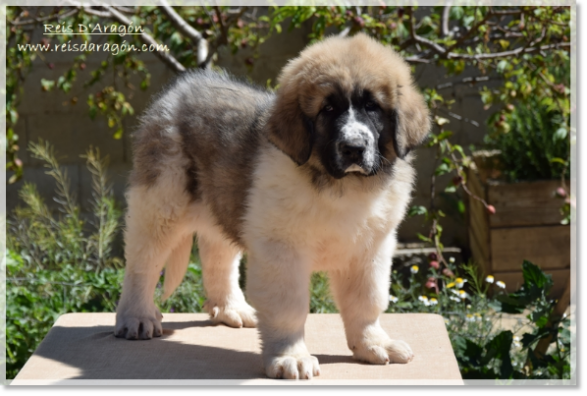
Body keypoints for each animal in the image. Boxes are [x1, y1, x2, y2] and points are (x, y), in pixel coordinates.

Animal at [115, 34, 430, 380]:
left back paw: (231, 308)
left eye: (372, 106)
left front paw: (374, 344)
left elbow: (367, 301)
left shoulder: (369, 249)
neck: (341, 186)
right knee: (142, 263)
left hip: (226, 203)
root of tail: (180, 89)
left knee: (218, 257)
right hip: (161, 203)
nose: (354, 148)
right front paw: (290, 356)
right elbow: (288, 308)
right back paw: (137, 318)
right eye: (328, 109)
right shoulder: (282, 251)